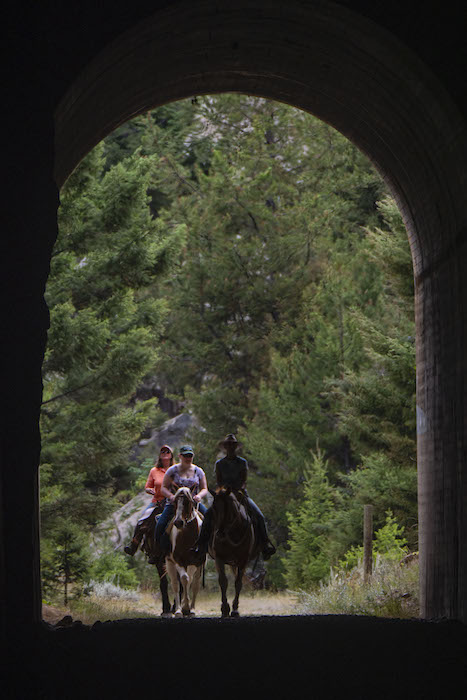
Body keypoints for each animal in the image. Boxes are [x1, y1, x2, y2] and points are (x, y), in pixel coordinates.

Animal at [166, 486, 207, 616]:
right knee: (175, 584)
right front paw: (183, 608)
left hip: (191, 565)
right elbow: (184, 579)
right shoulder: (178, 561)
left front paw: (191, 608)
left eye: (188, 501)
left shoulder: (199, 562)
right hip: (169, 562)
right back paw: (178, 609)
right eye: (175, 501)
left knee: (190, 581)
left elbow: (194, 584)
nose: (178, 522)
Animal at [209, 486, 262, 616]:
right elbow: (223, 581)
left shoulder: (243, 560)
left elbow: (238, 583)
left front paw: (235, 609)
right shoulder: (219, 558)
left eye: (228, 507)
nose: (219, 534)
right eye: (213, 508)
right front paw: (224, 608)